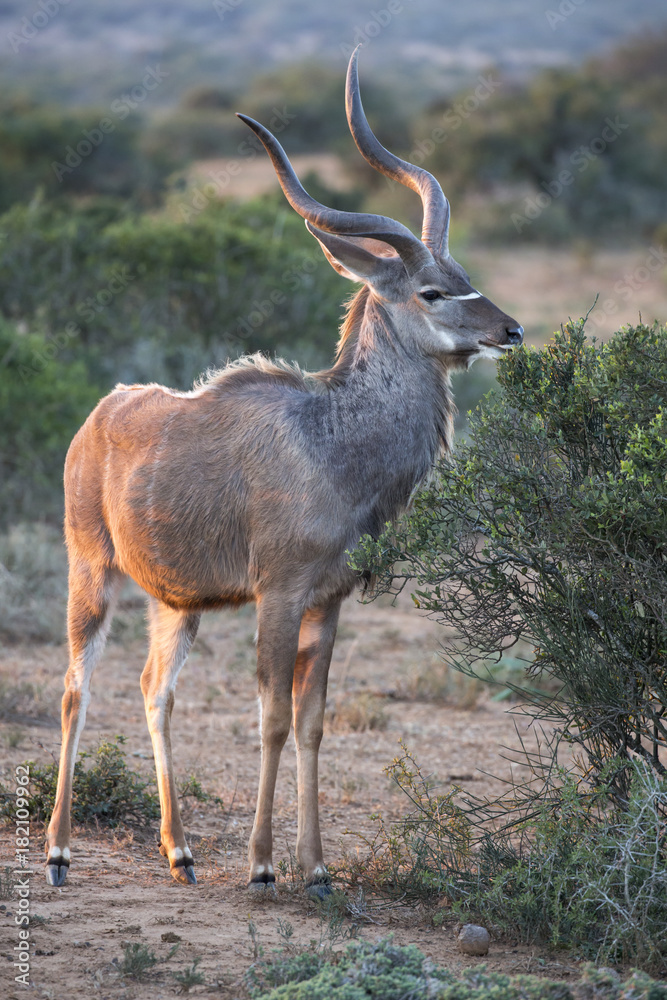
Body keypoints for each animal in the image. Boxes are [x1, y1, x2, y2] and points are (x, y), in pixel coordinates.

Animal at [45, 47, 523, 895]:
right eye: (432, 290)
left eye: (463, 274)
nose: (510, 330)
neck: (330, 443)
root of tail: (100, 415)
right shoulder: (278, 593)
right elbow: (269, 717)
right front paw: (265, 865)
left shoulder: (329, 602)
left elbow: (311, 721)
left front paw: (319, 867)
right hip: (90, 572)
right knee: (77, 689)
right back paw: (60, 853)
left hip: (178, 604)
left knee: (155, 691)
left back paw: (181, 852)